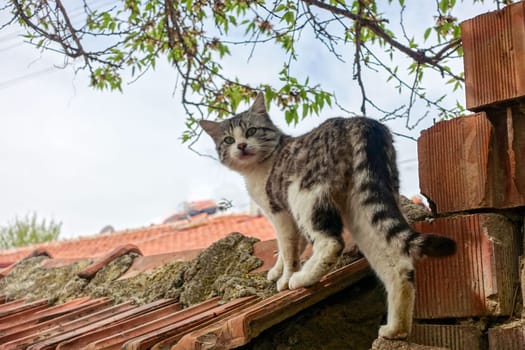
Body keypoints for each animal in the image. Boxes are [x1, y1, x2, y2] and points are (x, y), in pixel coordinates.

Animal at [201, 92, 454, 340]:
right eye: (228, 140)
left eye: (251, 131)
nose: (242, 145)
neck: (256, 171)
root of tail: (357, 121)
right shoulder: (285, 218)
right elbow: (289, 247)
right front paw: (275, 271)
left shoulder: (280, 211)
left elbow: (289, 249)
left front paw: (284, 277)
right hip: (365, 205)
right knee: (397, 264)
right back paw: (396, 329)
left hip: (304, 195)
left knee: (331, 243)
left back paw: (302, 278)